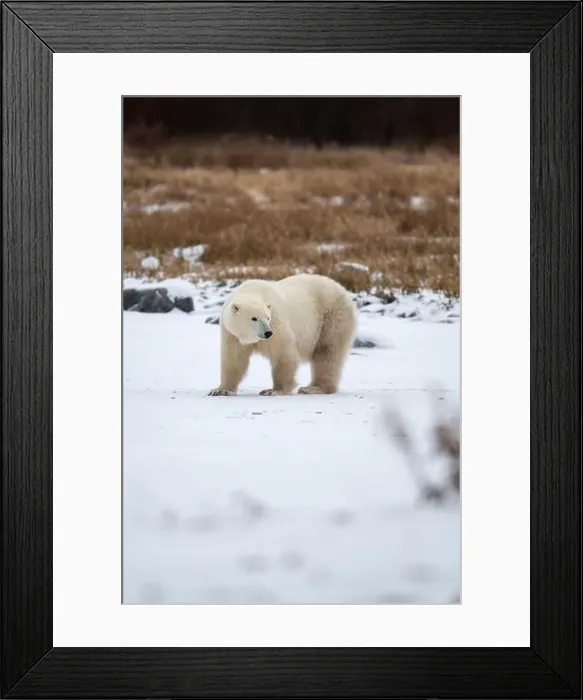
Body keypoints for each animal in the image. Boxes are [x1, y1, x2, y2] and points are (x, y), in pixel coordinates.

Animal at [208, 273, 357, 396]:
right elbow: (234, 359)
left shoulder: (277, 322)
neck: (253, 290)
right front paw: (221, 390)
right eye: (254, 318)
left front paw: (273, 390)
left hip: (332, 316)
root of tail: (342, 289)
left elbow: (283, 353)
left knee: (327, 352)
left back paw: (314, 388)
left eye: (267, 317)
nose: (267, 332)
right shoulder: (232, 334)